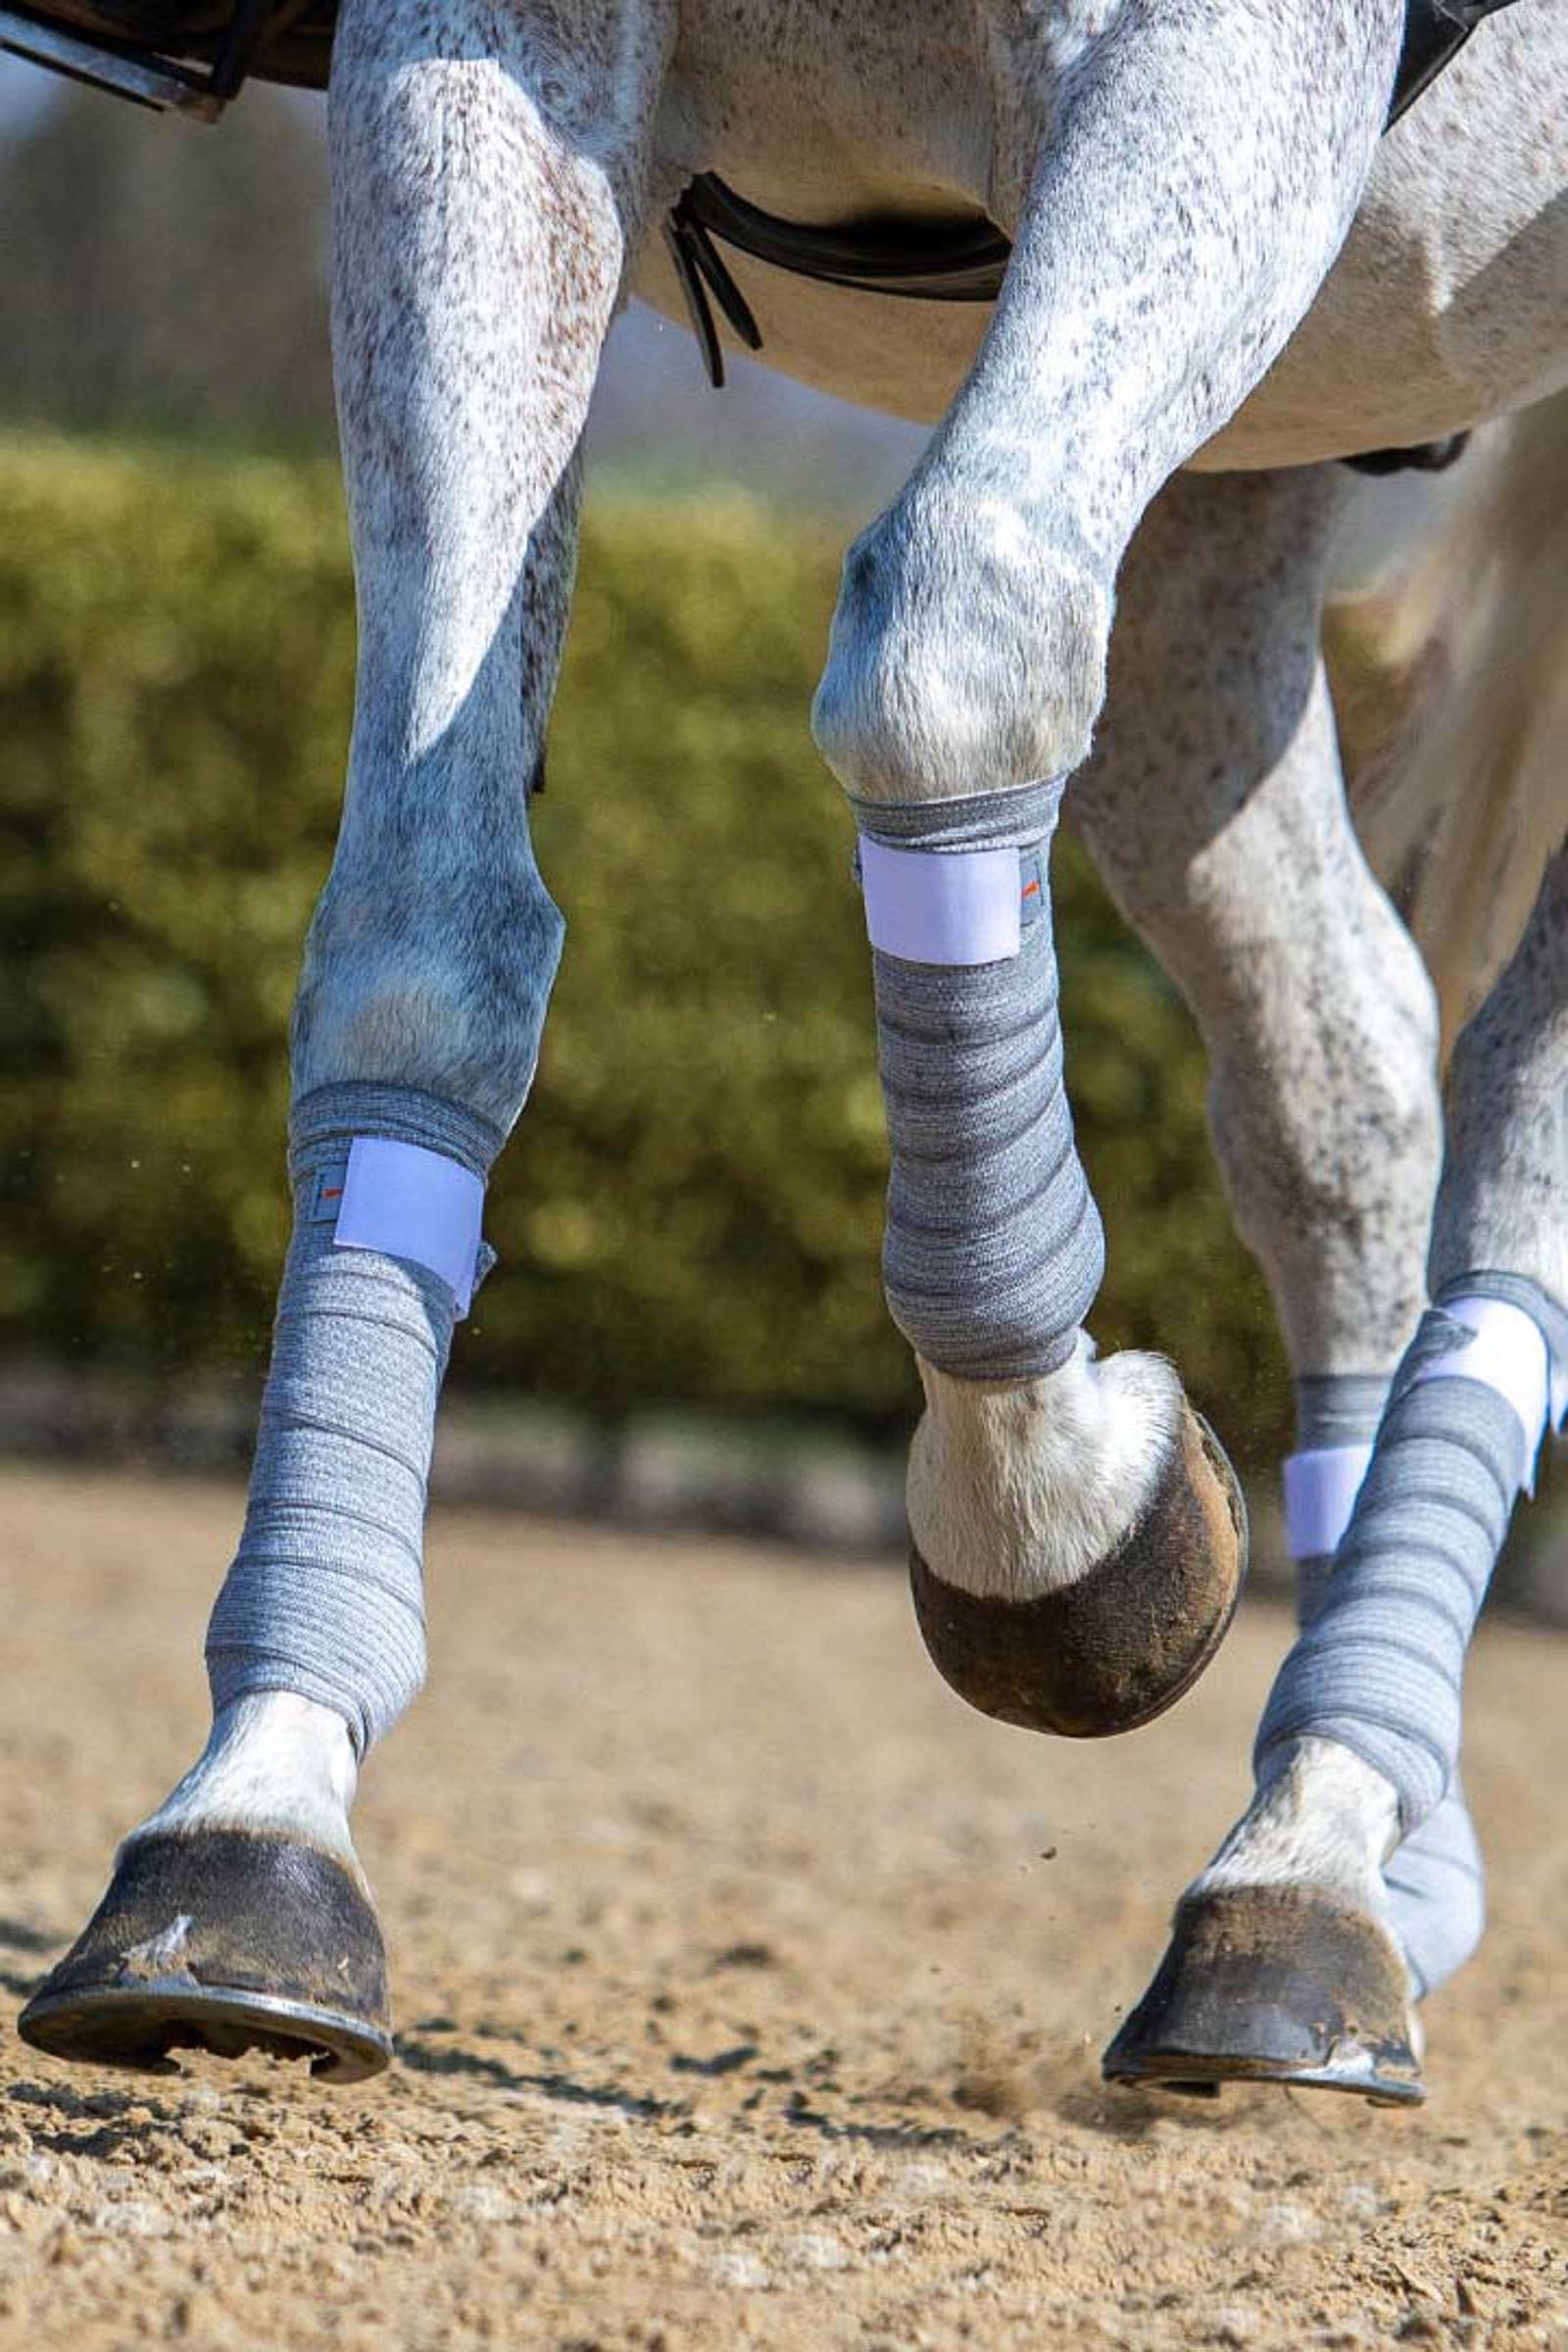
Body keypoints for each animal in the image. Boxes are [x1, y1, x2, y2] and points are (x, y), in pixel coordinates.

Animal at [9, 0, 1567, 2104]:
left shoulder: (1228, 57)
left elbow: (942, 661)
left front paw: (1060, 1520)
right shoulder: (482, 66)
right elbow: (420, 940)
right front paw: (252, 1819)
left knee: (1504, 1105)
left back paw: (1320, 1852)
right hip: (1259, 464)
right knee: (1349, 1069)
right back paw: (1357, 1845)